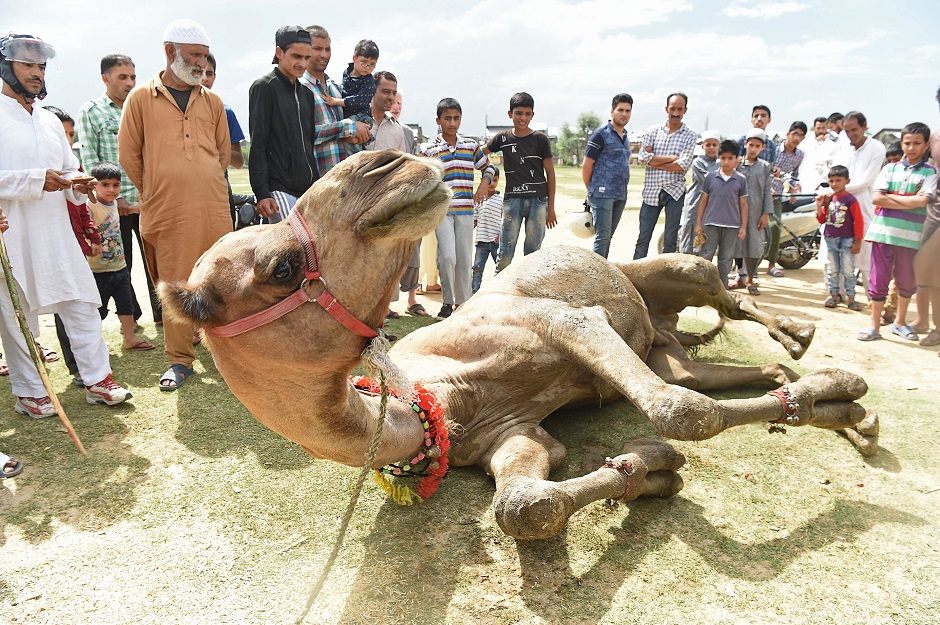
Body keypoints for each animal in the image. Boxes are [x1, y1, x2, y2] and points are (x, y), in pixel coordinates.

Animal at [163, 149, 880, 540]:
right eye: (281, 266)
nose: (386, 164)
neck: (441, 399)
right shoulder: (514, 436)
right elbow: (523, 505)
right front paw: (651, 469)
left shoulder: (565, 323)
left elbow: (680, 413)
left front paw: (842, 388)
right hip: (661, 345)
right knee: (704, 372)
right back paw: (837, 405)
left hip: (664, 271)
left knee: (716, 289)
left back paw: (808, 344)